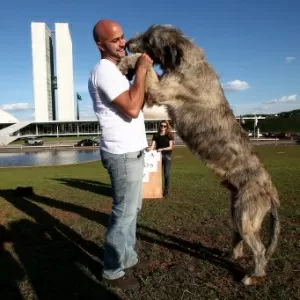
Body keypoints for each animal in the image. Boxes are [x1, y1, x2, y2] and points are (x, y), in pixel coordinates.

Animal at [116, 24, 278, 284]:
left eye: (149, 39)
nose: (128, 43)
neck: (186, 61)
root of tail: (271, 193)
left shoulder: (163, 89)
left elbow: (146, 64)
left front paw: (128, 61)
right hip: (236, 209)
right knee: (239, 237)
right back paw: (233, 254)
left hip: (246, 215)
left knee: (260, 249)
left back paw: (252, 276)